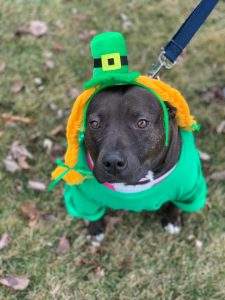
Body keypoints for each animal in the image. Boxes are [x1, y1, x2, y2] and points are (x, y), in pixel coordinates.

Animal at [85, 85, 182, 241]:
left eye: (142, 123)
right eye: (94, 124)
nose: (113, 162)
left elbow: (176, 206)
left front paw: (172, 220)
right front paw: (95, 229)